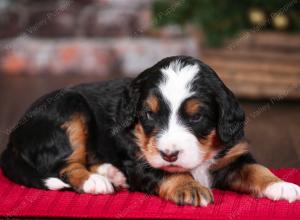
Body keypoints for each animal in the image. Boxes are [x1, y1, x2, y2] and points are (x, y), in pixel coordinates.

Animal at [0, 55, 300, 206]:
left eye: (197, 116)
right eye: (148, 114)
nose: (169, 154)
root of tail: (14, 135)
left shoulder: (234, 155)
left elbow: (257, 169)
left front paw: (281, 185)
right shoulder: (139, 159)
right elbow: (165, 171)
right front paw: (190, 187)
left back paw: (110, 173)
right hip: (69, 108)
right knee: (64, 165)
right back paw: (95, 181)